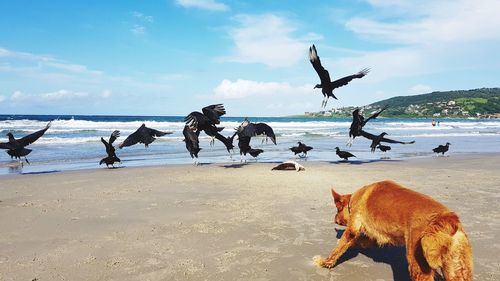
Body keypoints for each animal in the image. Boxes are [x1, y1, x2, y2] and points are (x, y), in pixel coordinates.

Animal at [316, 180, 472, 278]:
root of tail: (447, 219)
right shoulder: (373, 237)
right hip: (456, 267)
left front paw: (325, 262)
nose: (334, 219)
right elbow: (360, 241)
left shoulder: (352, 229)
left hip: (417, 263)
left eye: (337, 209)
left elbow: (339, 248)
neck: (354, 198)